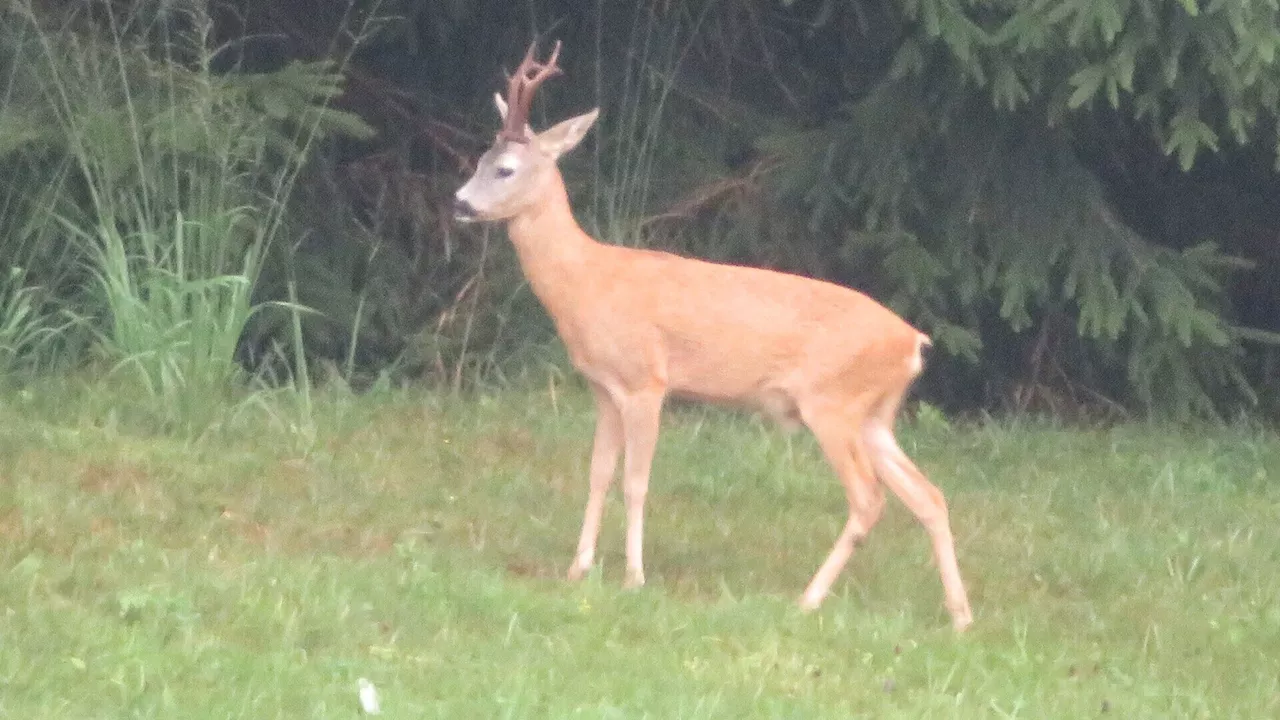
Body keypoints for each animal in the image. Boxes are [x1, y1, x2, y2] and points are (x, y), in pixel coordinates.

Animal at [455, 41, 972, 630]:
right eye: (479, 161)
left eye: (506, 168)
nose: (460, 203)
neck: (587, 280)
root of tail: (913, 343)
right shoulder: (603, 387)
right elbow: (598, 473)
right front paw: (577, 569)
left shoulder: (646, 381)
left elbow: (635, 480)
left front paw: (634, 577)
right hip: (873, 415)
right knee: (929, 495)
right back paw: (960, 616)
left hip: (832, 403)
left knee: (869, 498)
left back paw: (808, 598)